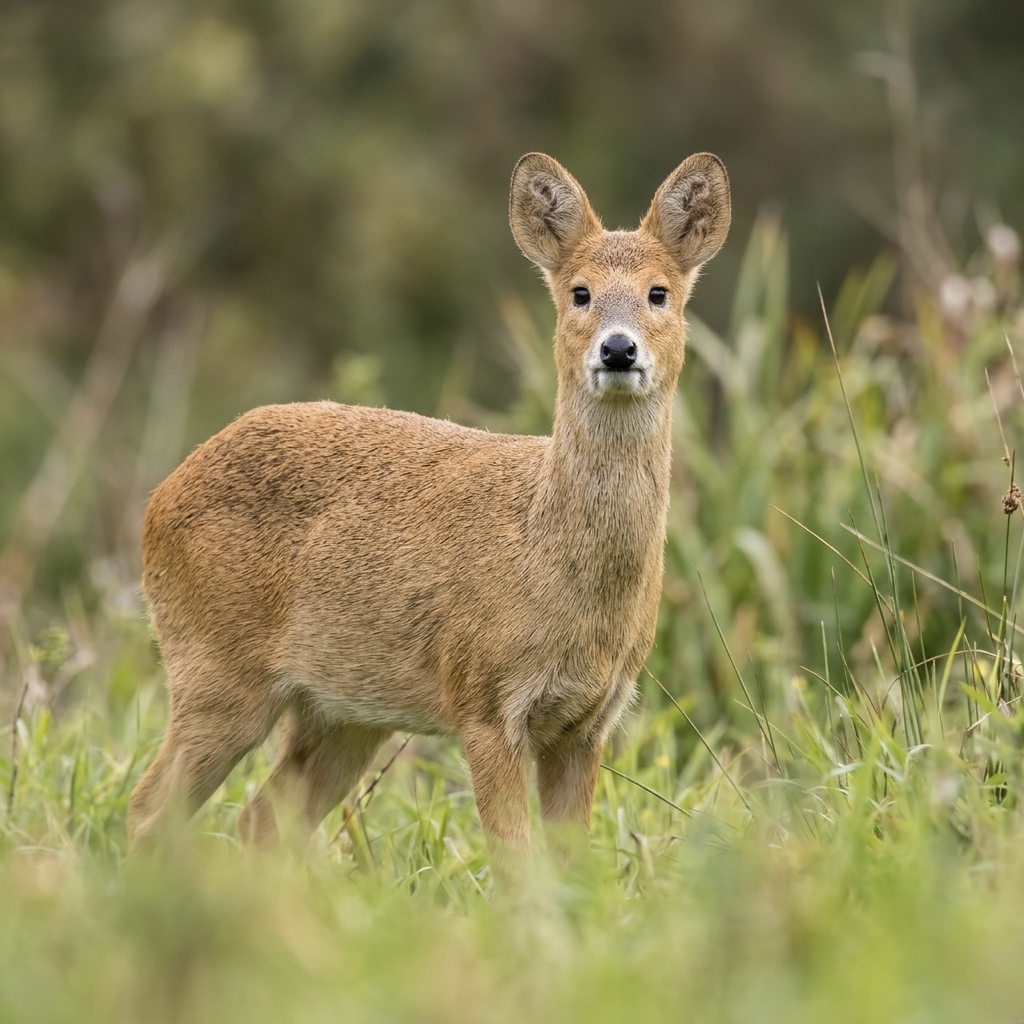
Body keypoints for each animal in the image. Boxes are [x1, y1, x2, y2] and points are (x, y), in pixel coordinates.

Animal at [127, 150, 731, 877]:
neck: (548, 557)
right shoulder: (484, 700)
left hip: (341, 714)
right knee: (149, 808)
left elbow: (570, 866)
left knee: (259, 821)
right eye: (580, 292)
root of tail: (158, 499)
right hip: (215, 673)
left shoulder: (588, 724)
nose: (618, 350)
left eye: (659, 293)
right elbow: (515, 864)